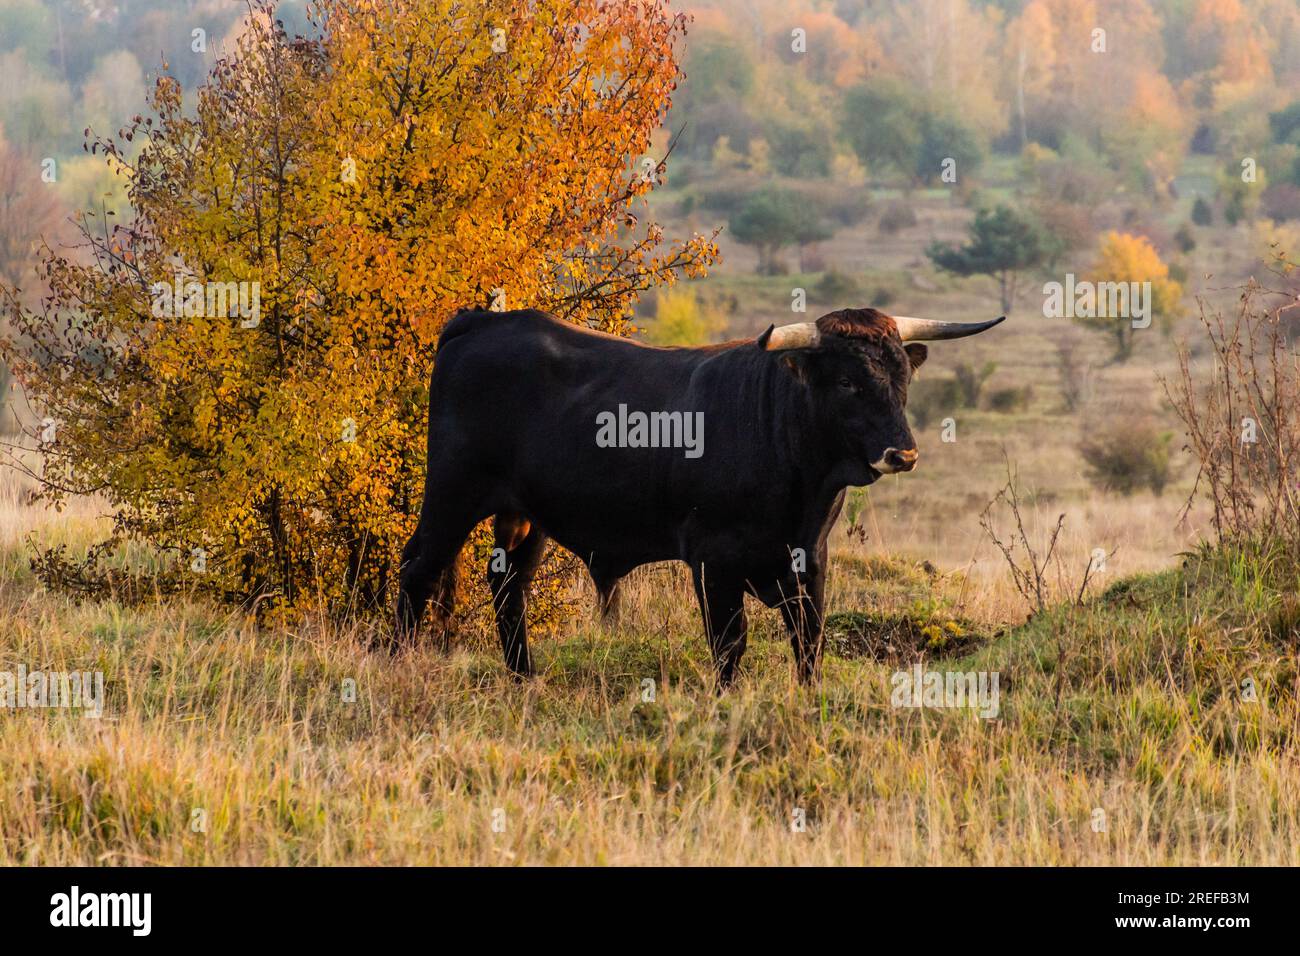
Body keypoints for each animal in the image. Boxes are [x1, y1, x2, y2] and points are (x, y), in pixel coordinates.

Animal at [390, 303, 998, 686]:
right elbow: (730, 645)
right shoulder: (713, 561)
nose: (904, 454)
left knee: (509, 585)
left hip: (523, 515)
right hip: (452, 495)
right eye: (848, 381)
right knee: (418, 570)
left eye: (902, 379)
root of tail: (482, 322)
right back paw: (395, 663)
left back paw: (524, 679)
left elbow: (809, 641)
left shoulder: (811, 560)